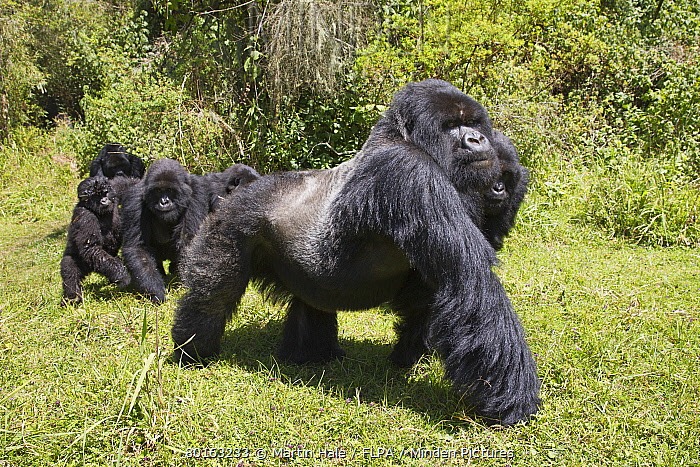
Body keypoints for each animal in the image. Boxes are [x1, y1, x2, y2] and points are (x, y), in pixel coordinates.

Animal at [59, 177, 131, 306]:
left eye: (104, 193)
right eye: (96, 197)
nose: (103, 200)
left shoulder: (114, 189)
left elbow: (125, 184)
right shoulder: (85, 217)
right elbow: (91, 248)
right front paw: (123, 275)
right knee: (70, 271)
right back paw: (71, 300)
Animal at [121, 159, 211, 304]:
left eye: (169, 190)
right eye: (158, 191)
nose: (164, 202)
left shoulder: (198, 193)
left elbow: (188, 241)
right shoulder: (133, 200)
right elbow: (137, 248)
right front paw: (156, 292)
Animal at [171, 80, 540, 428]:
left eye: (474, 123)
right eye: (451, 125)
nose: (477, 139)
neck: (402, 137)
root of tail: (238, 190)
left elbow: (436, 289)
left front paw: (407, 356)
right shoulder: (409, 171)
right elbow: (469, 281)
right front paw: (513, 401)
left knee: (310, 300)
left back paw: (309, 354)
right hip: (231, 222)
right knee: (214, 292)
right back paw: (192, 348)